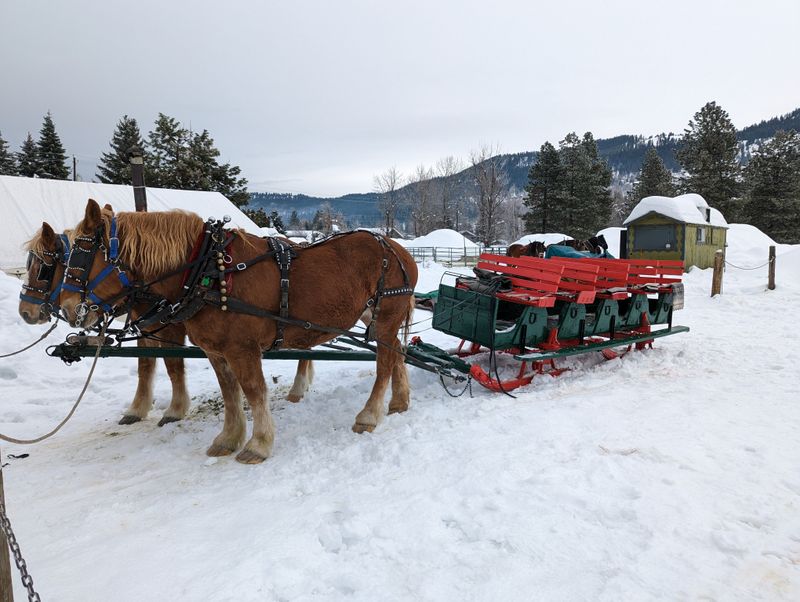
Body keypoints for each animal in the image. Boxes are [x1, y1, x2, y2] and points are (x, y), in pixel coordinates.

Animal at [59, 199, 417, 464]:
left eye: (81, 255)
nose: (66, 307)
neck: (207, 270)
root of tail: (399, 251)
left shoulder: (243, 349)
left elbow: (254, 391)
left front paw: (258, 444)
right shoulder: (217, 350)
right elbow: (230, 393)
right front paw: (228, 439)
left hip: (386, 318)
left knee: (384, 364)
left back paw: (369, 416)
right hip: (379, 320)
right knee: (397, 356)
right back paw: (399, 402)